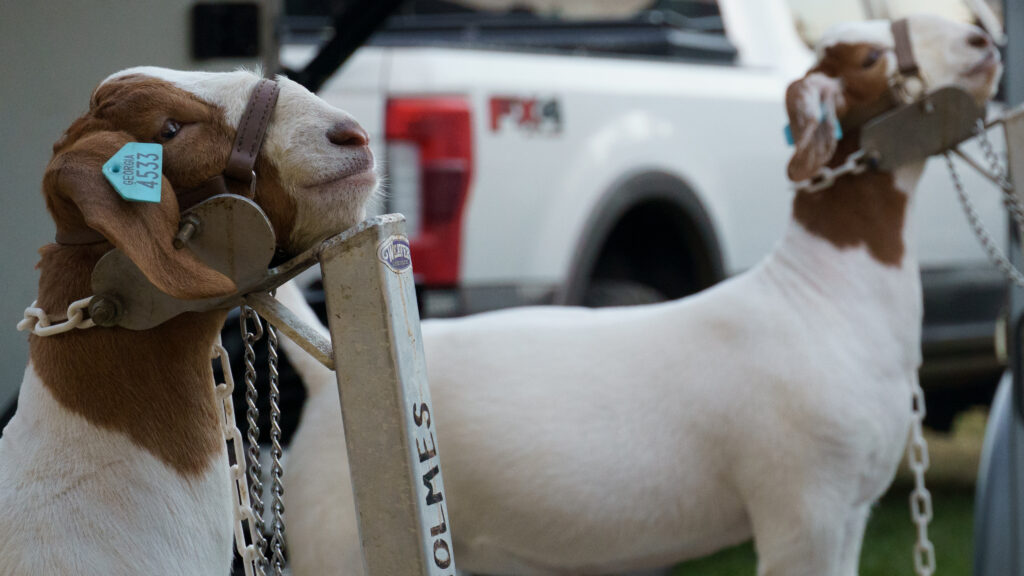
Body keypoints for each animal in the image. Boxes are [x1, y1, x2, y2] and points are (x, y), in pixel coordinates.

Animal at [282, 14, 1001, 576]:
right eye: (871, 60)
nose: (984, 38)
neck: (820, 293)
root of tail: (325, 375)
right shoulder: (804, 507)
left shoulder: (851, 510)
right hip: (336, 535)